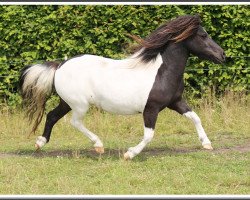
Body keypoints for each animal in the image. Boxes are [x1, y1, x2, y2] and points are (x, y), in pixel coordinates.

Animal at [19, 15, 226, 159]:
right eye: (203, 35)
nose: (222, 55)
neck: (162, 71)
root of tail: (60, 65)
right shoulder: (151, 109)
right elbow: (149, 135)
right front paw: (129, 154)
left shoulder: (175, 102)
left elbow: (195, 117)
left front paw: (207, 144)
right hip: (79, 105)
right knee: (75, 122)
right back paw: (98, 145)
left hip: (67, 102)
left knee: (51, 116)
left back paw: (39, 143)